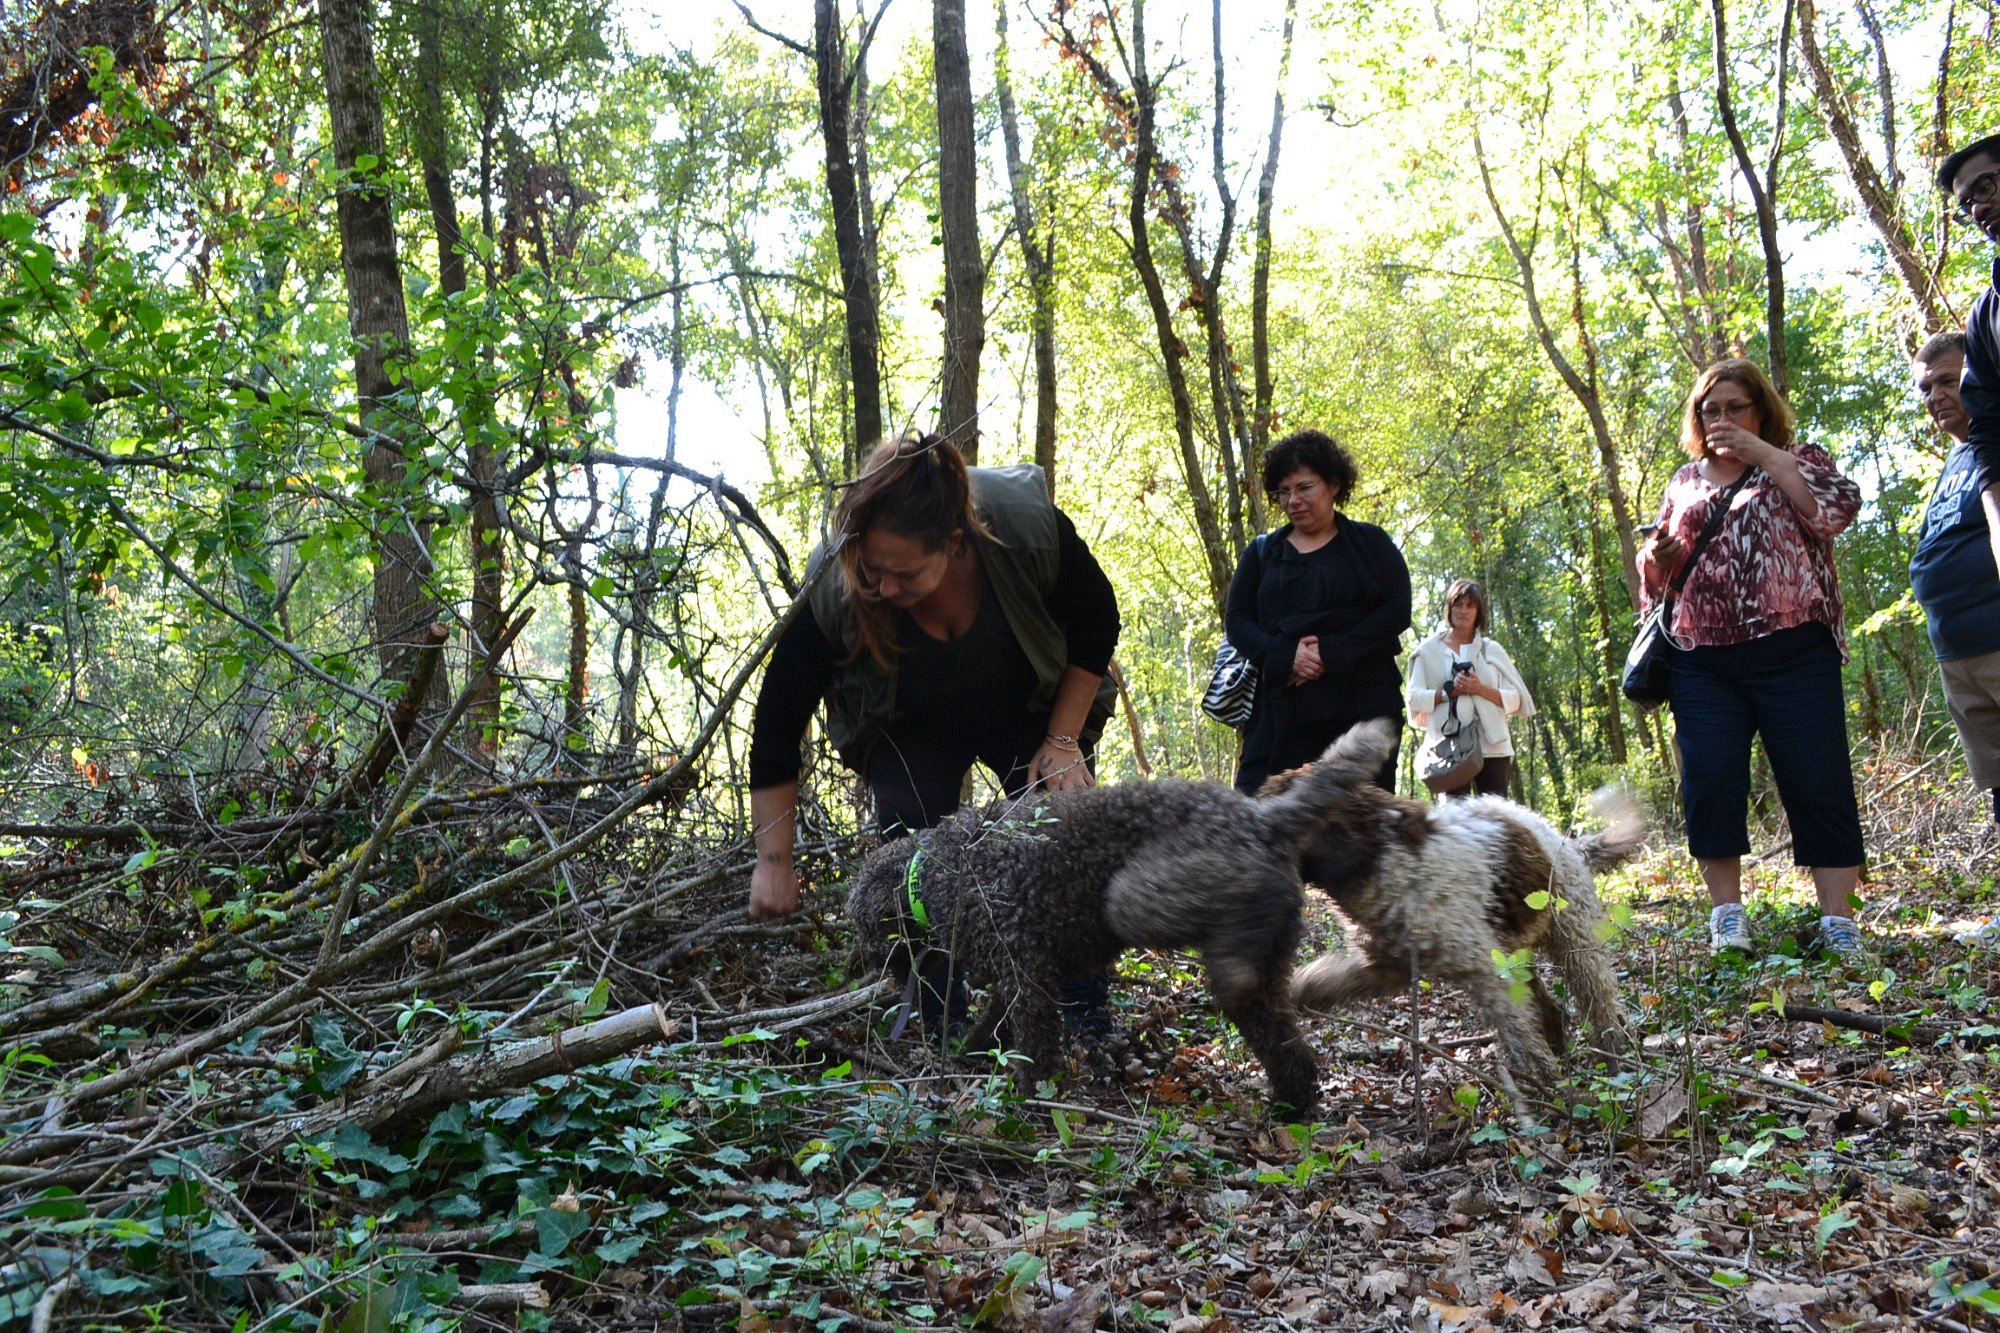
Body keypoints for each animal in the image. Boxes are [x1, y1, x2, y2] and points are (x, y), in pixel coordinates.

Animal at [840, 716, 1392, 1112]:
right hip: (1266, 975)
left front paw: (1030, 1098)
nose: (869, 969)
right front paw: (971, 1057)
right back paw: (1292, 1102)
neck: (929, 874)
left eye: (863, 928)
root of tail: (1262, 819)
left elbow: (1034, 1045)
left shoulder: (1027, 978)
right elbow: (993, 1028)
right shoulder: (1023, 976)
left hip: (1138, 897)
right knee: (1285, 1042)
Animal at [1264, 752, 1640, 1104]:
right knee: (1552, 1009)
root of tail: (1568, 843)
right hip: (1515, 951)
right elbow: (1329, 979)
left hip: (1572, 938)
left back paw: (1615, 1057)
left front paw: (1548, 1084)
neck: (1382, 854)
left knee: (1600, 1001)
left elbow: (1519, 1033)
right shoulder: (1386, 964)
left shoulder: (1487, 973)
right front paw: (1298, 993)